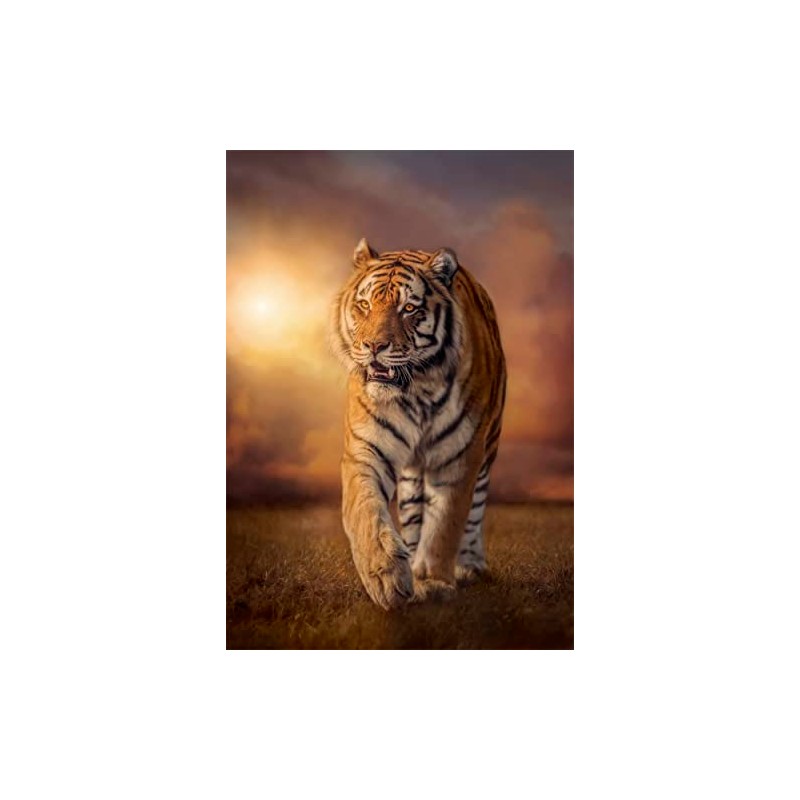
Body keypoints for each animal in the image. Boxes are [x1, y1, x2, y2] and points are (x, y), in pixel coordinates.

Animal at [331, 238, 507, 610]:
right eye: (365, 305)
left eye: (409, 309)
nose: (374, 346)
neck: (416, 390)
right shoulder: (366, 449)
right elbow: (365, 510)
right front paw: (386, 577)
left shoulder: (460, 456)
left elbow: (445, 525)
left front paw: (434, 581)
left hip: (488, 448)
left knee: (475, 510)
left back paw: (469, 565)